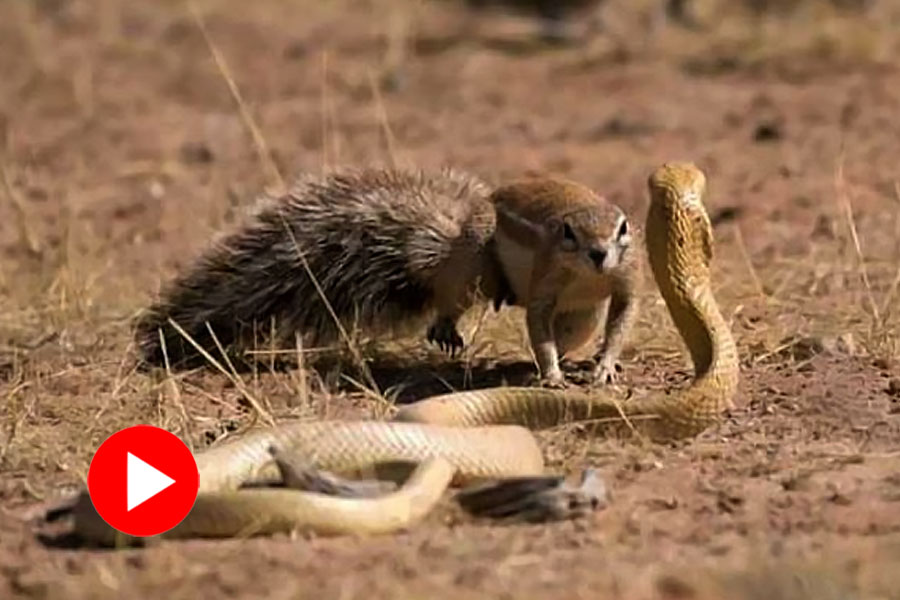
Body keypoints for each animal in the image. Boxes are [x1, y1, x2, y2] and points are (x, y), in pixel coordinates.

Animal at [133, 167, 638, 386]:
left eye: (622, 229)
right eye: (567, 234)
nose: (599, 255)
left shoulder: (625, 280)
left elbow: (619, 321)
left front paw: (604, 366)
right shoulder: (547, 279)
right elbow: (537, 324)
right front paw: (551, 375)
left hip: (580, 315)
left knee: (575, 328)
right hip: (476, 258)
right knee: (454, 295)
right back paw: (447, 328)